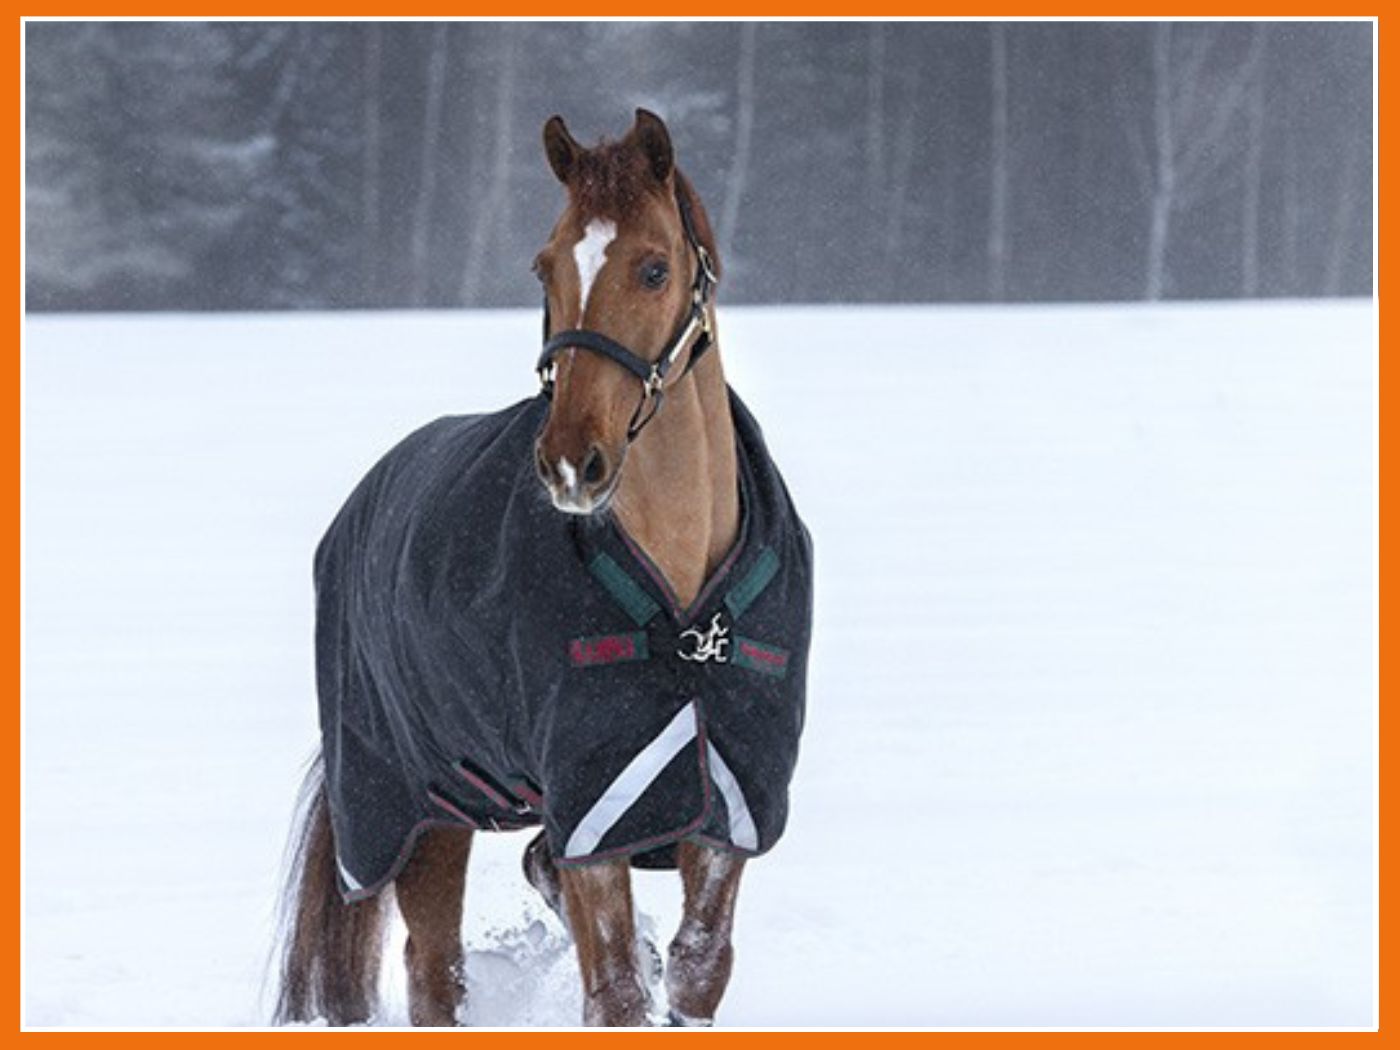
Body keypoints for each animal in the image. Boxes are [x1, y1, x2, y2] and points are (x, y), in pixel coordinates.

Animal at [273, 109, 813, 1028]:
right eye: (545, 264)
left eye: (654, 266)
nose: (569, 463)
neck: (682, 614)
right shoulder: (594, 800)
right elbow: (617, 991)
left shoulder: (726, 796)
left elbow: (697, 965)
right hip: (420, 811)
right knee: (435, 974)